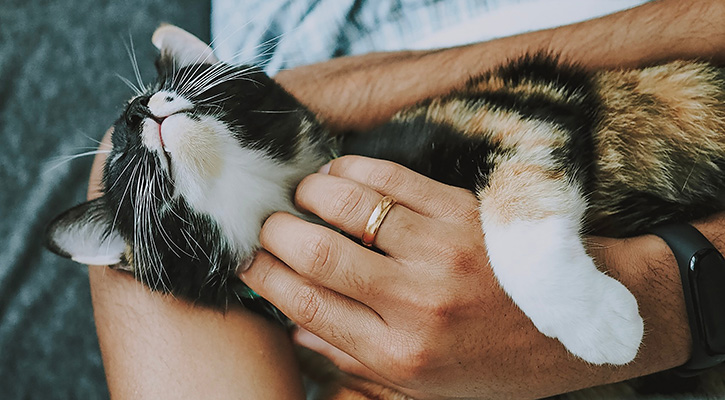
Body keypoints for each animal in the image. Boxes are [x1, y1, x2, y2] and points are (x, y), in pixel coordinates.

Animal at [43, 24, 724, 372]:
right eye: (124, 160)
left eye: (180, 80)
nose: (136, 113)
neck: (281, 196)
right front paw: (599, 321)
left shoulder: (514, 104)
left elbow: (515, 213)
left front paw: (595, 321)